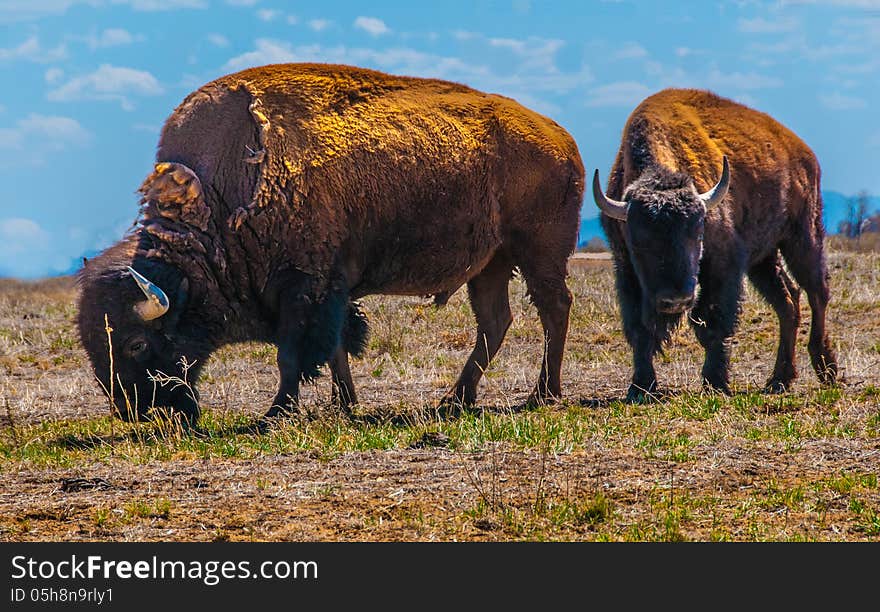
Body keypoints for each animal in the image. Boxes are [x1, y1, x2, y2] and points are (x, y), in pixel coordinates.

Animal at [75, 63, 584, 426]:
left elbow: (293, 355)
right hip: (490, 264)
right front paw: (345, 404)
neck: (220, 204)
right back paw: (454, 400)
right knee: (495, 323)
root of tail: (561, 137)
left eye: (136, 344)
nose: (134, 411)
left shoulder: (305, 288)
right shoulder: (330, 291)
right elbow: (336, 347)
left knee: (554, 307)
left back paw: (543, 393)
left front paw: (277, 413)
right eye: (92, 345)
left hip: (539, 250)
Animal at [592, 87, 840, 402]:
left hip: (803, 236)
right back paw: (779, 380)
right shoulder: (627, 271)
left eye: (697, 232)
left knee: (817, 293)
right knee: (788, 300)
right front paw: (640, 387)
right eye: (638, 241)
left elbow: (714, 322)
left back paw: (826, 369)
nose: (676, 300)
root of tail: (804, 152)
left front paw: (715, 382)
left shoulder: (724, 265)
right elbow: (639, 329)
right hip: (764, 259)